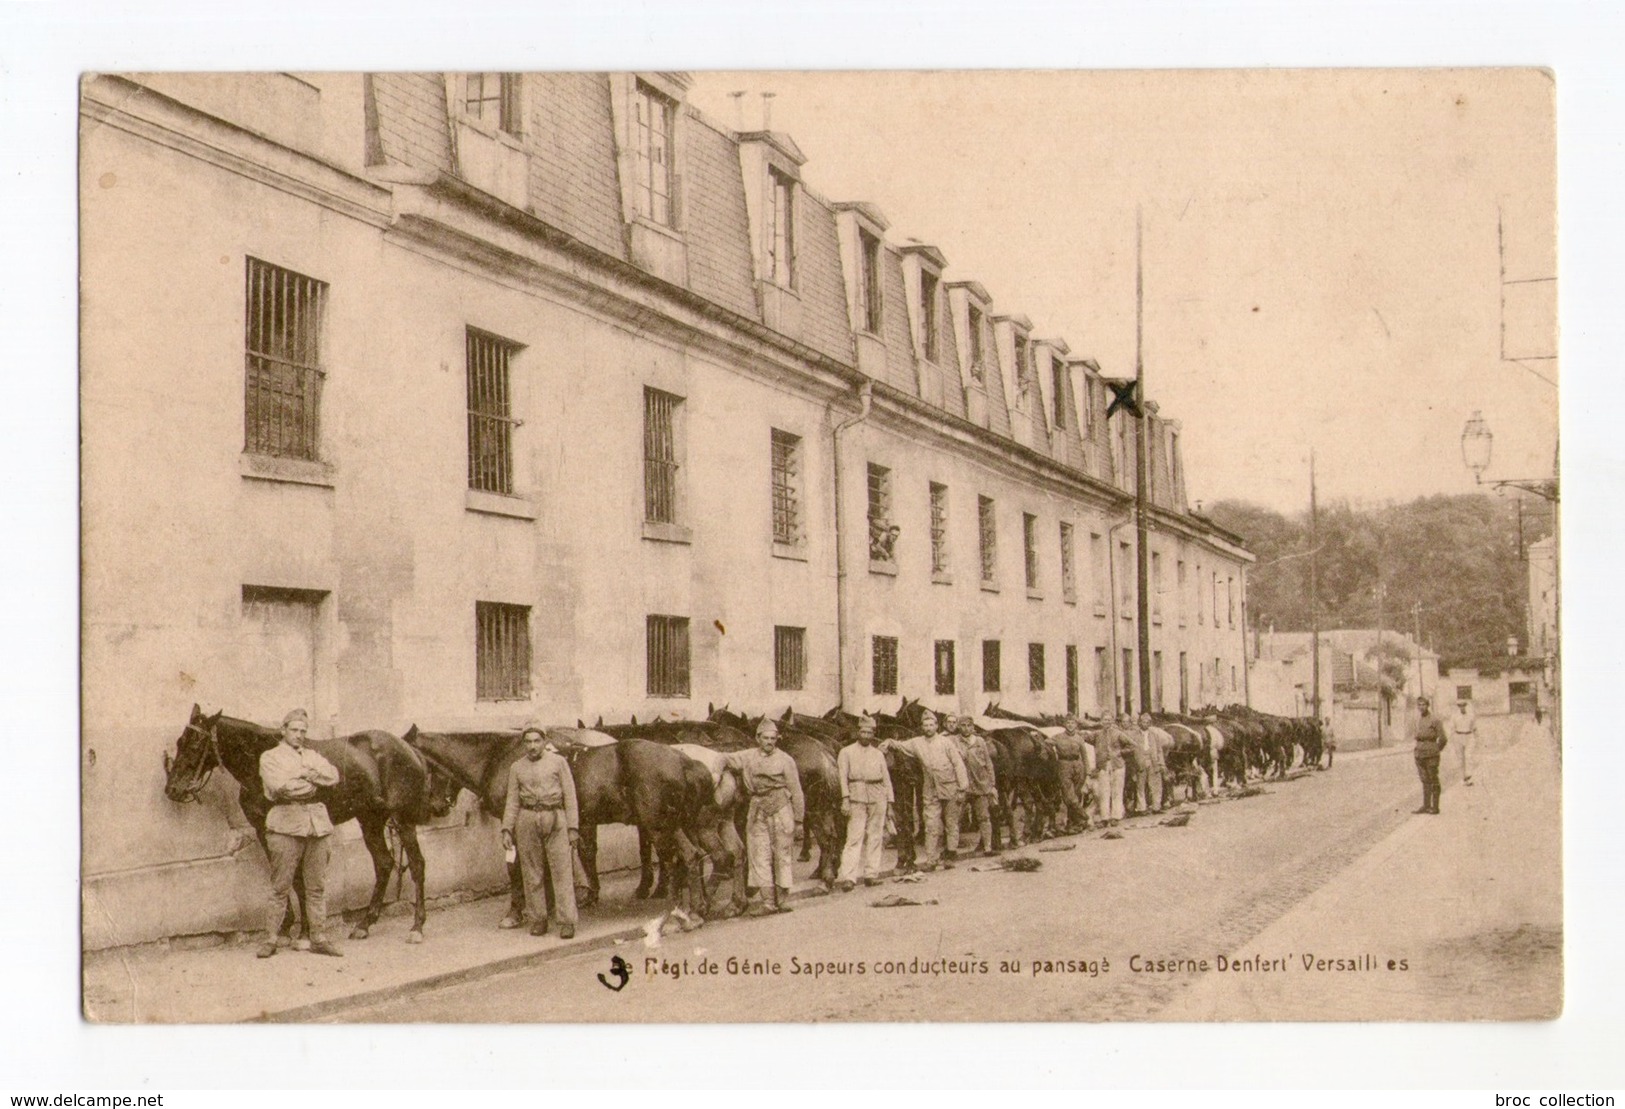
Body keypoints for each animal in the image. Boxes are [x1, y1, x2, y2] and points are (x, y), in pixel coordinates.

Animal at [162, 702, 451, 936]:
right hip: (370, 819)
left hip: (402, 819)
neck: (260, 762)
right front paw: (286, 927)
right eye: (179, 742)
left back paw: (416, 926)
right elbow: (281, 874)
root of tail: (410, 749)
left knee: (417, 865)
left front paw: (302, 930)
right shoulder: (264, 830)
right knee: (384, 863)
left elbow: (297, 878)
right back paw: (364, 924)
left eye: (195, 744)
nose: (173, 789)